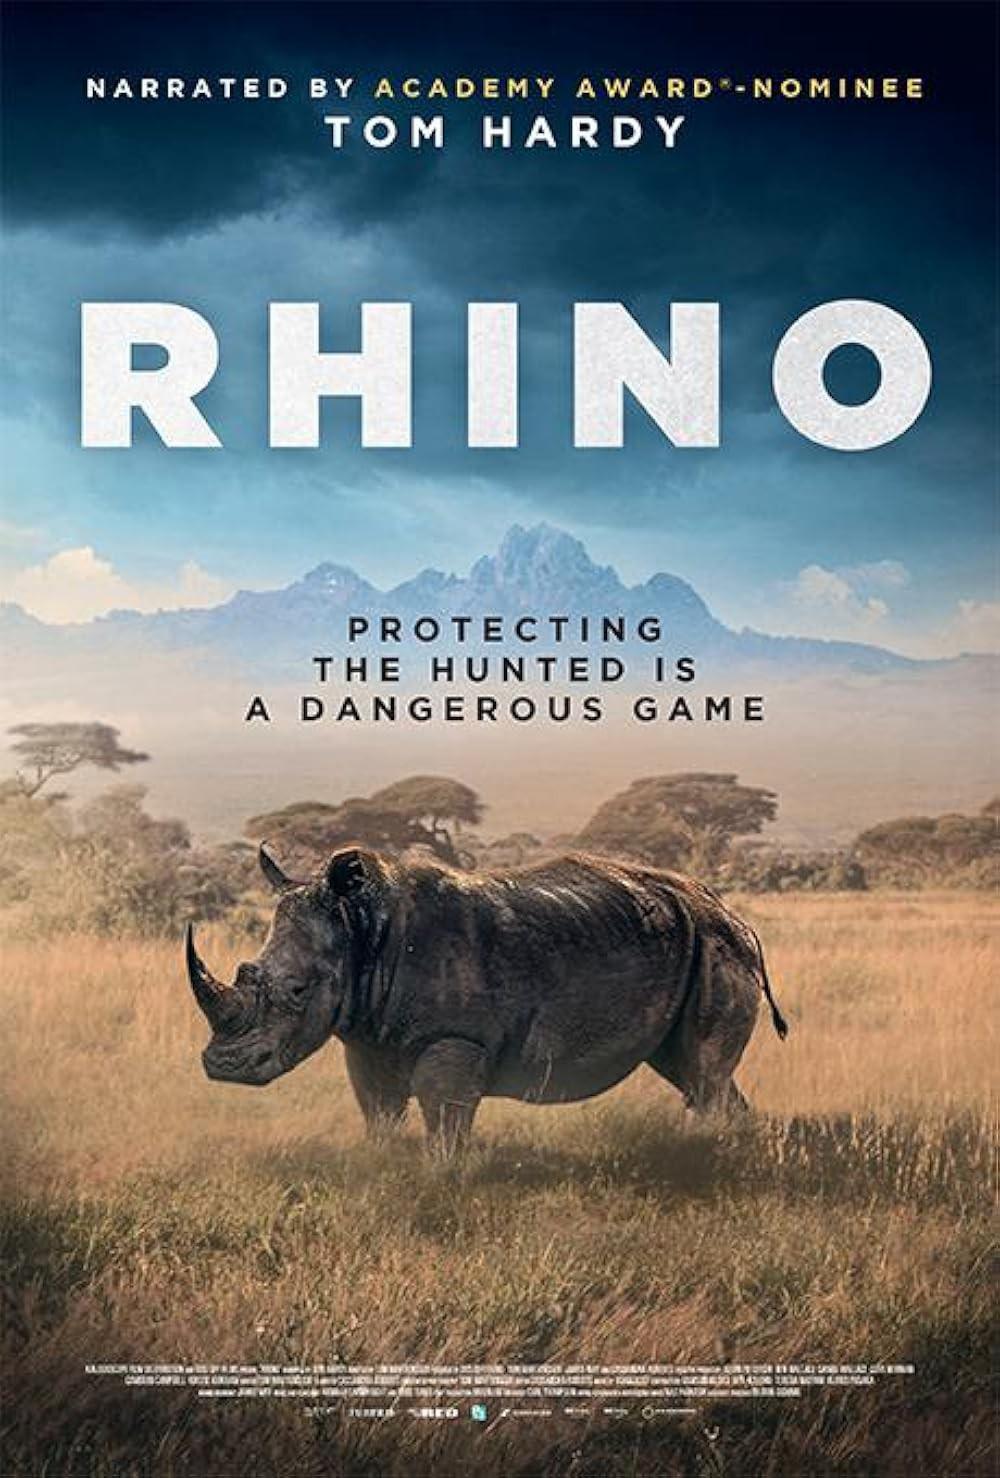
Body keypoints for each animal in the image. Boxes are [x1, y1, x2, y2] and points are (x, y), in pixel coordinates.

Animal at [185, 845, 787, 1152]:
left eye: (297, 990)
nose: (223, 1066)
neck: (361, 931)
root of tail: (736, 915)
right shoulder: (367, 1037)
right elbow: (378, 1112)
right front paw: (383, 1169)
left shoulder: (456, 1037)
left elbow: (444, 1120)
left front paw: (441, 1182)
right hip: (695, 944)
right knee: (692, 1072)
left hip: (716, 945)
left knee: (703, 1073)